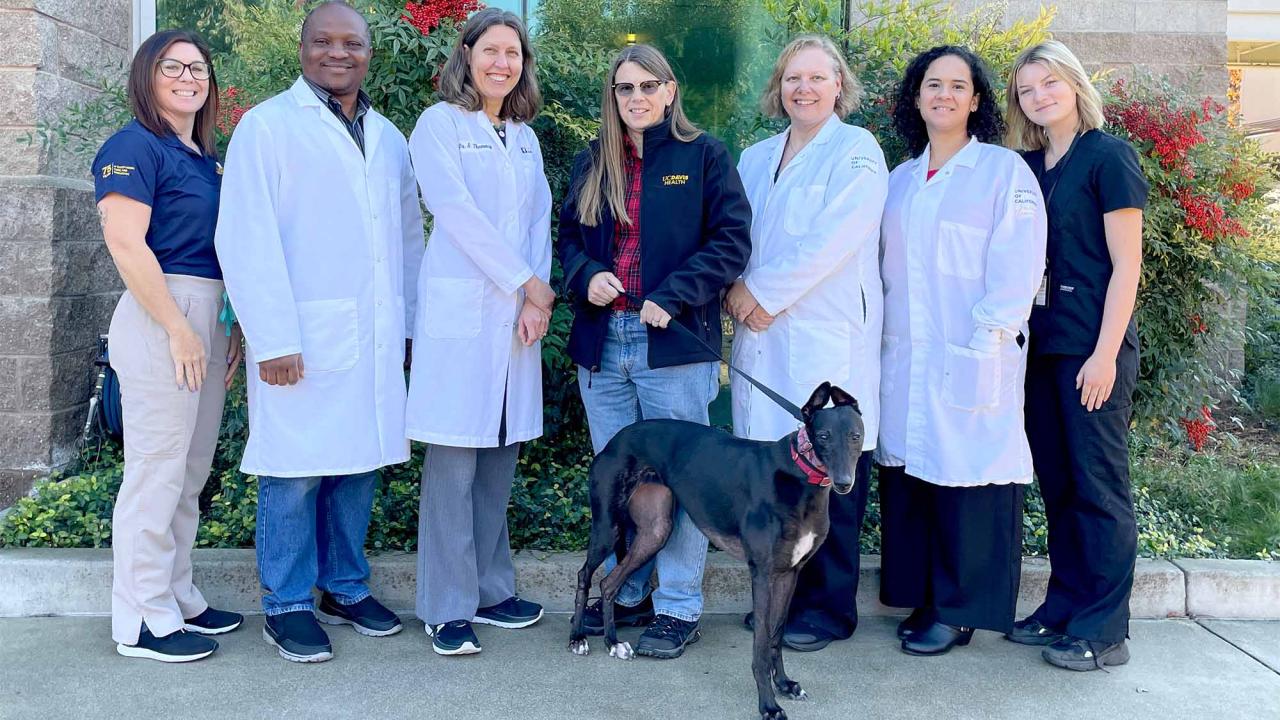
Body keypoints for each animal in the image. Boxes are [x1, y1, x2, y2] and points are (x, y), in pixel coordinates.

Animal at [568, 381, 860, 717]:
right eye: (823, 436)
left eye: (855, 436)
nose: (844, 483)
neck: (800, 477)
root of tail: (615, 440)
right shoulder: (762, 574)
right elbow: (761, 643)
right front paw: (768, 705)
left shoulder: (790, 573)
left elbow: (776, 635)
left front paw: (785, 685)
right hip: (607, 526)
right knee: (585, 575)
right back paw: (577, 638)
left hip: (655, 532)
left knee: (609, 583)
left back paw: (613, 643)